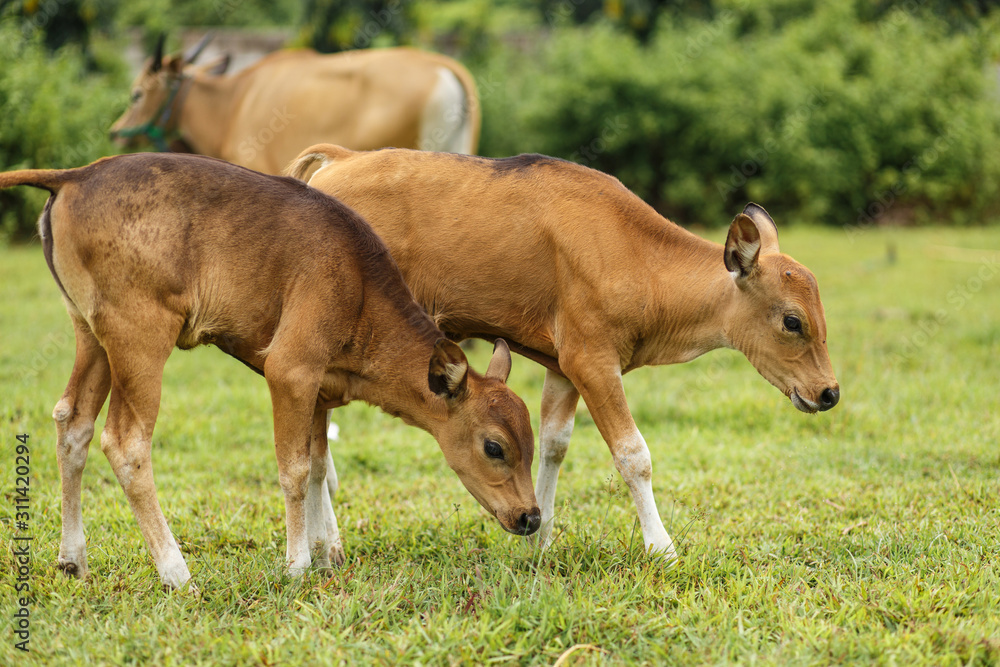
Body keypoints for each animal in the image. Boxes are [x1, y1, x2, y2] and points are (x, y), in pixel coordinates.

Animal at [0, 155, 540, 588]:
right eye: (495, 447)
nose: (531, 516)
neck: (359, 288)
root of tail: (77, 174)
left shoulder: (320, 388)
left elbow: (319, 464)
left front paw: (327, 553)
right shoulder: (290, 371)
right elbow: (295, 469)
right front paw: (298, 564)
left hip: (89, 335)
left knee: (73, 422)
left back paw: (72, 559)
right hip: (140, 339)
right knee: (126, 442)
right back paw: (176, 572)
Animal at [292, 145, 844, 560]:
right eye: (793, 321)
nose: (829, 392)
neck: (637, 257)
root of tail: (340, 158)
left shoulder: (562, 367)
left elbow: (554, 443)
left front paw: (541, 540)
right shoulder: (592, 361)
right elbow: (633, 455)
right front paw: (661, 546)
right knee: (314, 449)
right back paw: (327, 543)